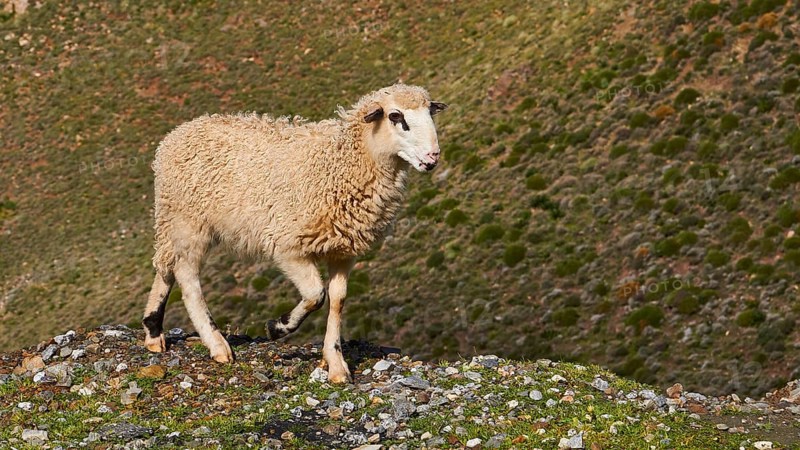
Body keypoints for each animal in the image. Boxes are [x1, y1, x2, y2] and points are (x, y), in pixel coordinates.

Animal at [141, 84, 447, 383]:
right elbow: (315, 295)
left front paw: (335, 363)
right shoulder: (288, 246)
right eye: (396, 116)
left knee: (166, 264)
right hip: (188, 220)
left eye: (430, 112)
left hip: (175, 220)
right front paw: (278, 327)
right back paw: (216, 344)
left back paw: (153, 331)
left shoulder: (343, 250)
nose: (433, 157)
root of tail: (176, 134)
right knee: (186, 274)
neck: (342, 162)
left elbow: (337, 301)